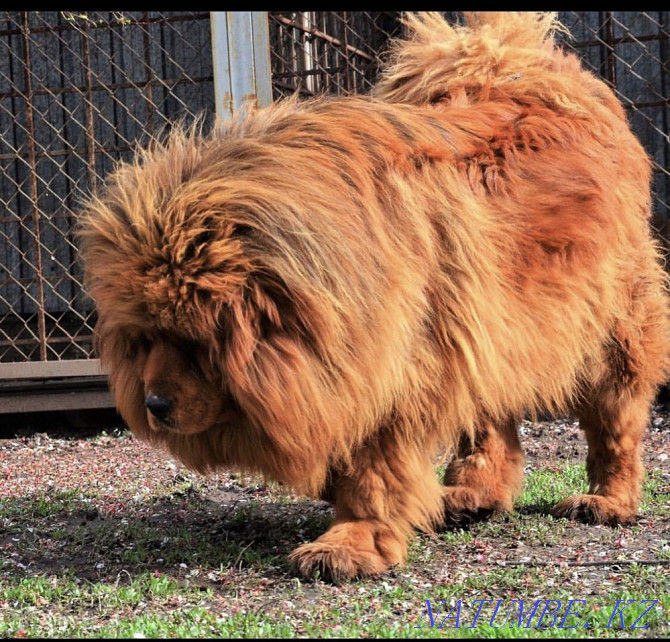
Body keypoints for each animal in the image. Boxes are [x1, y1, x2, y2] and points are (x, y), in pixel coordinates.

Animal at [77, 11, 670, 580]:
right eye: (144, 340)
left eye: (195, 341)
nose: (153, 405)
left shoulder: (395, 373)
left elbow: (373, 472)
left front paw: (349, 545)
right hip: (487, 328)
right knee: (488, 422)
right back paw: (470, 494)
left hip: (611, 330)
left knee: (614, 424)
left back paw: (606, 502)